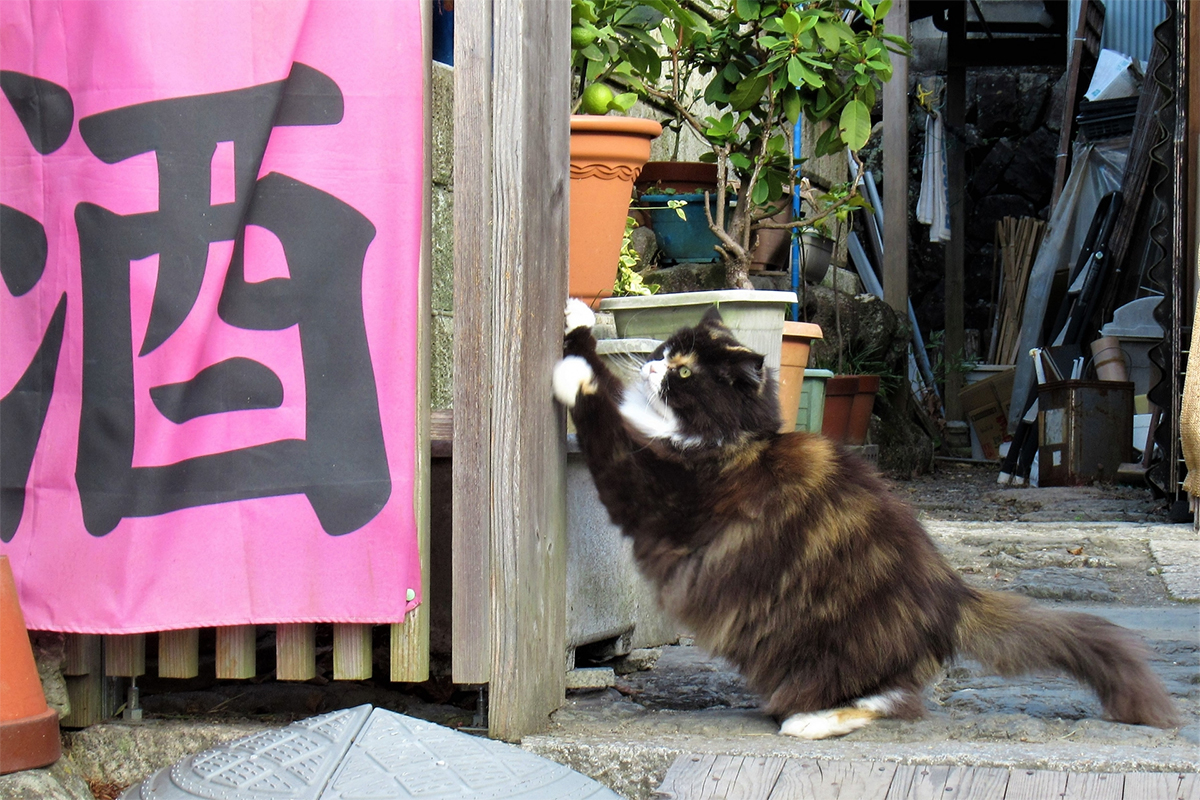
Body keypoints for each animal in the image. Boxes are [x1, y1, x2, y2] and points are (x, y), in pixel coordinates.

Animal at [552, 299, 1180, 738]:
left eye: (683, 374)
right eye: (662, 351)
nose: (652, 367)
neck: (728, 442)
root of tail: (952, 596)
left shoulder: (647, 488)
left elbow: (602, 415)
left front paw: (573, 373)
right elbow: (613, 392)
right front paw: (577, 321)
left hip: (821, 650)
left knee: (894, 700)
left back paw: (808, 722)